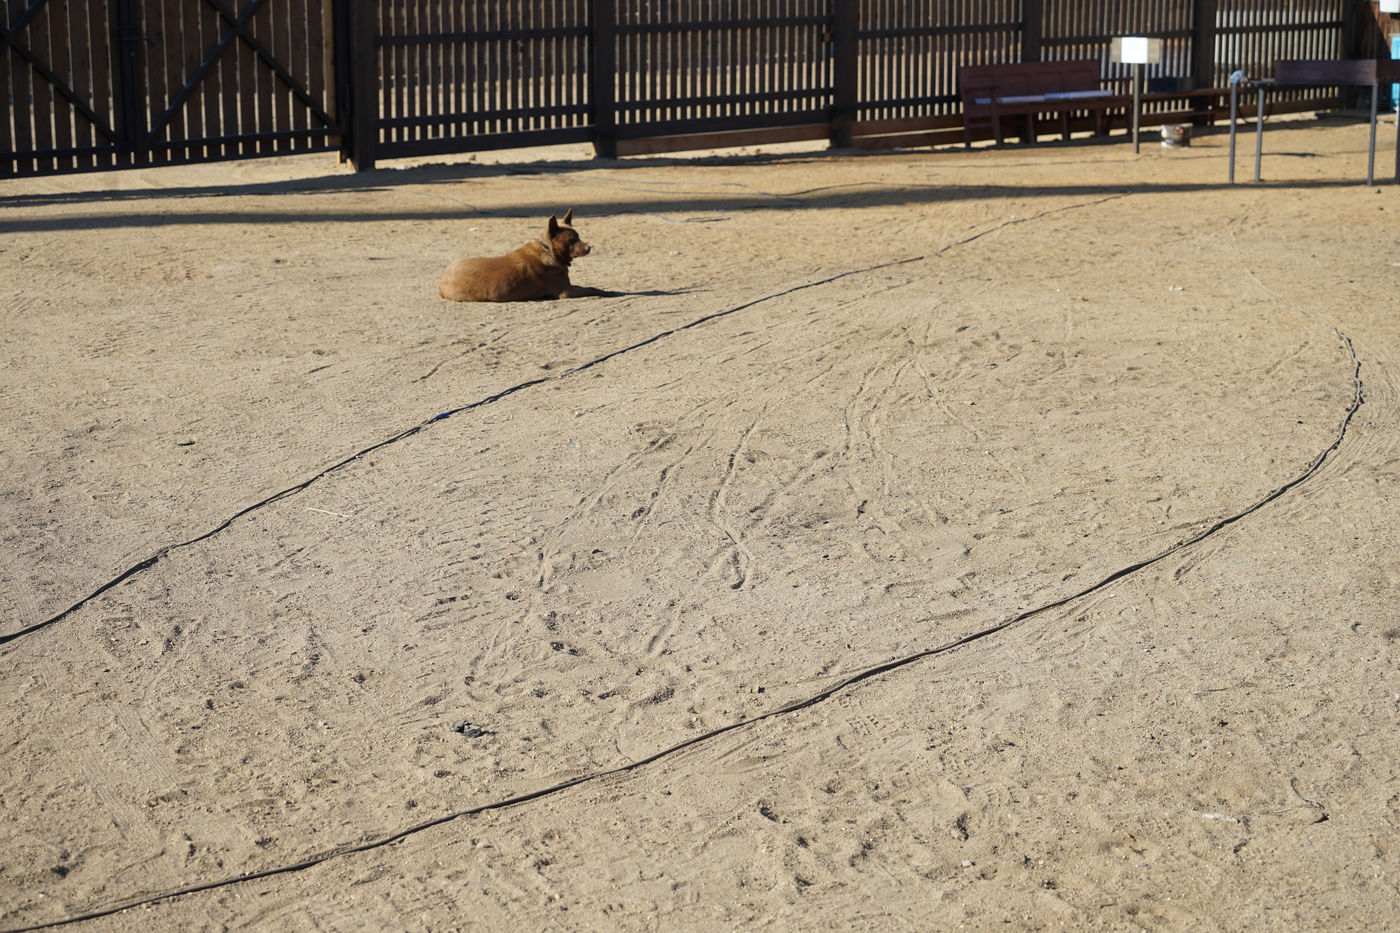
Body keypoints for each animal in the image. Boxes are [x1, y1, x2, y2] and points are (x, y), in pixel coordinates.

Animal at [438, 209, 614, 302]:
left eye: (579, 236)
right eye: (572, 240)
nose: (589, 247)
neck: (548, 249)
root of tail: (441, 282)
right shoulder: (566, 291)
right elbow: (592, 288)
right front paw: (609, 292)